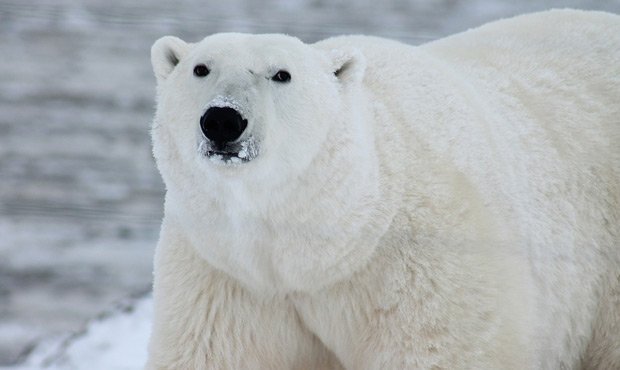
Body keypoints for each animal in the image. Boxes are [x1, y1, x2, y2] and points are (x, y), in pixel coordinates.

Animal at [147, 8, 620, 370]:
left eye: (281, 74)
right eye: (200, 68)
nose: (223, 120)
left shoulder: (422, 262)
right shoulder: (225, 273)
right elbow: (214, 352)